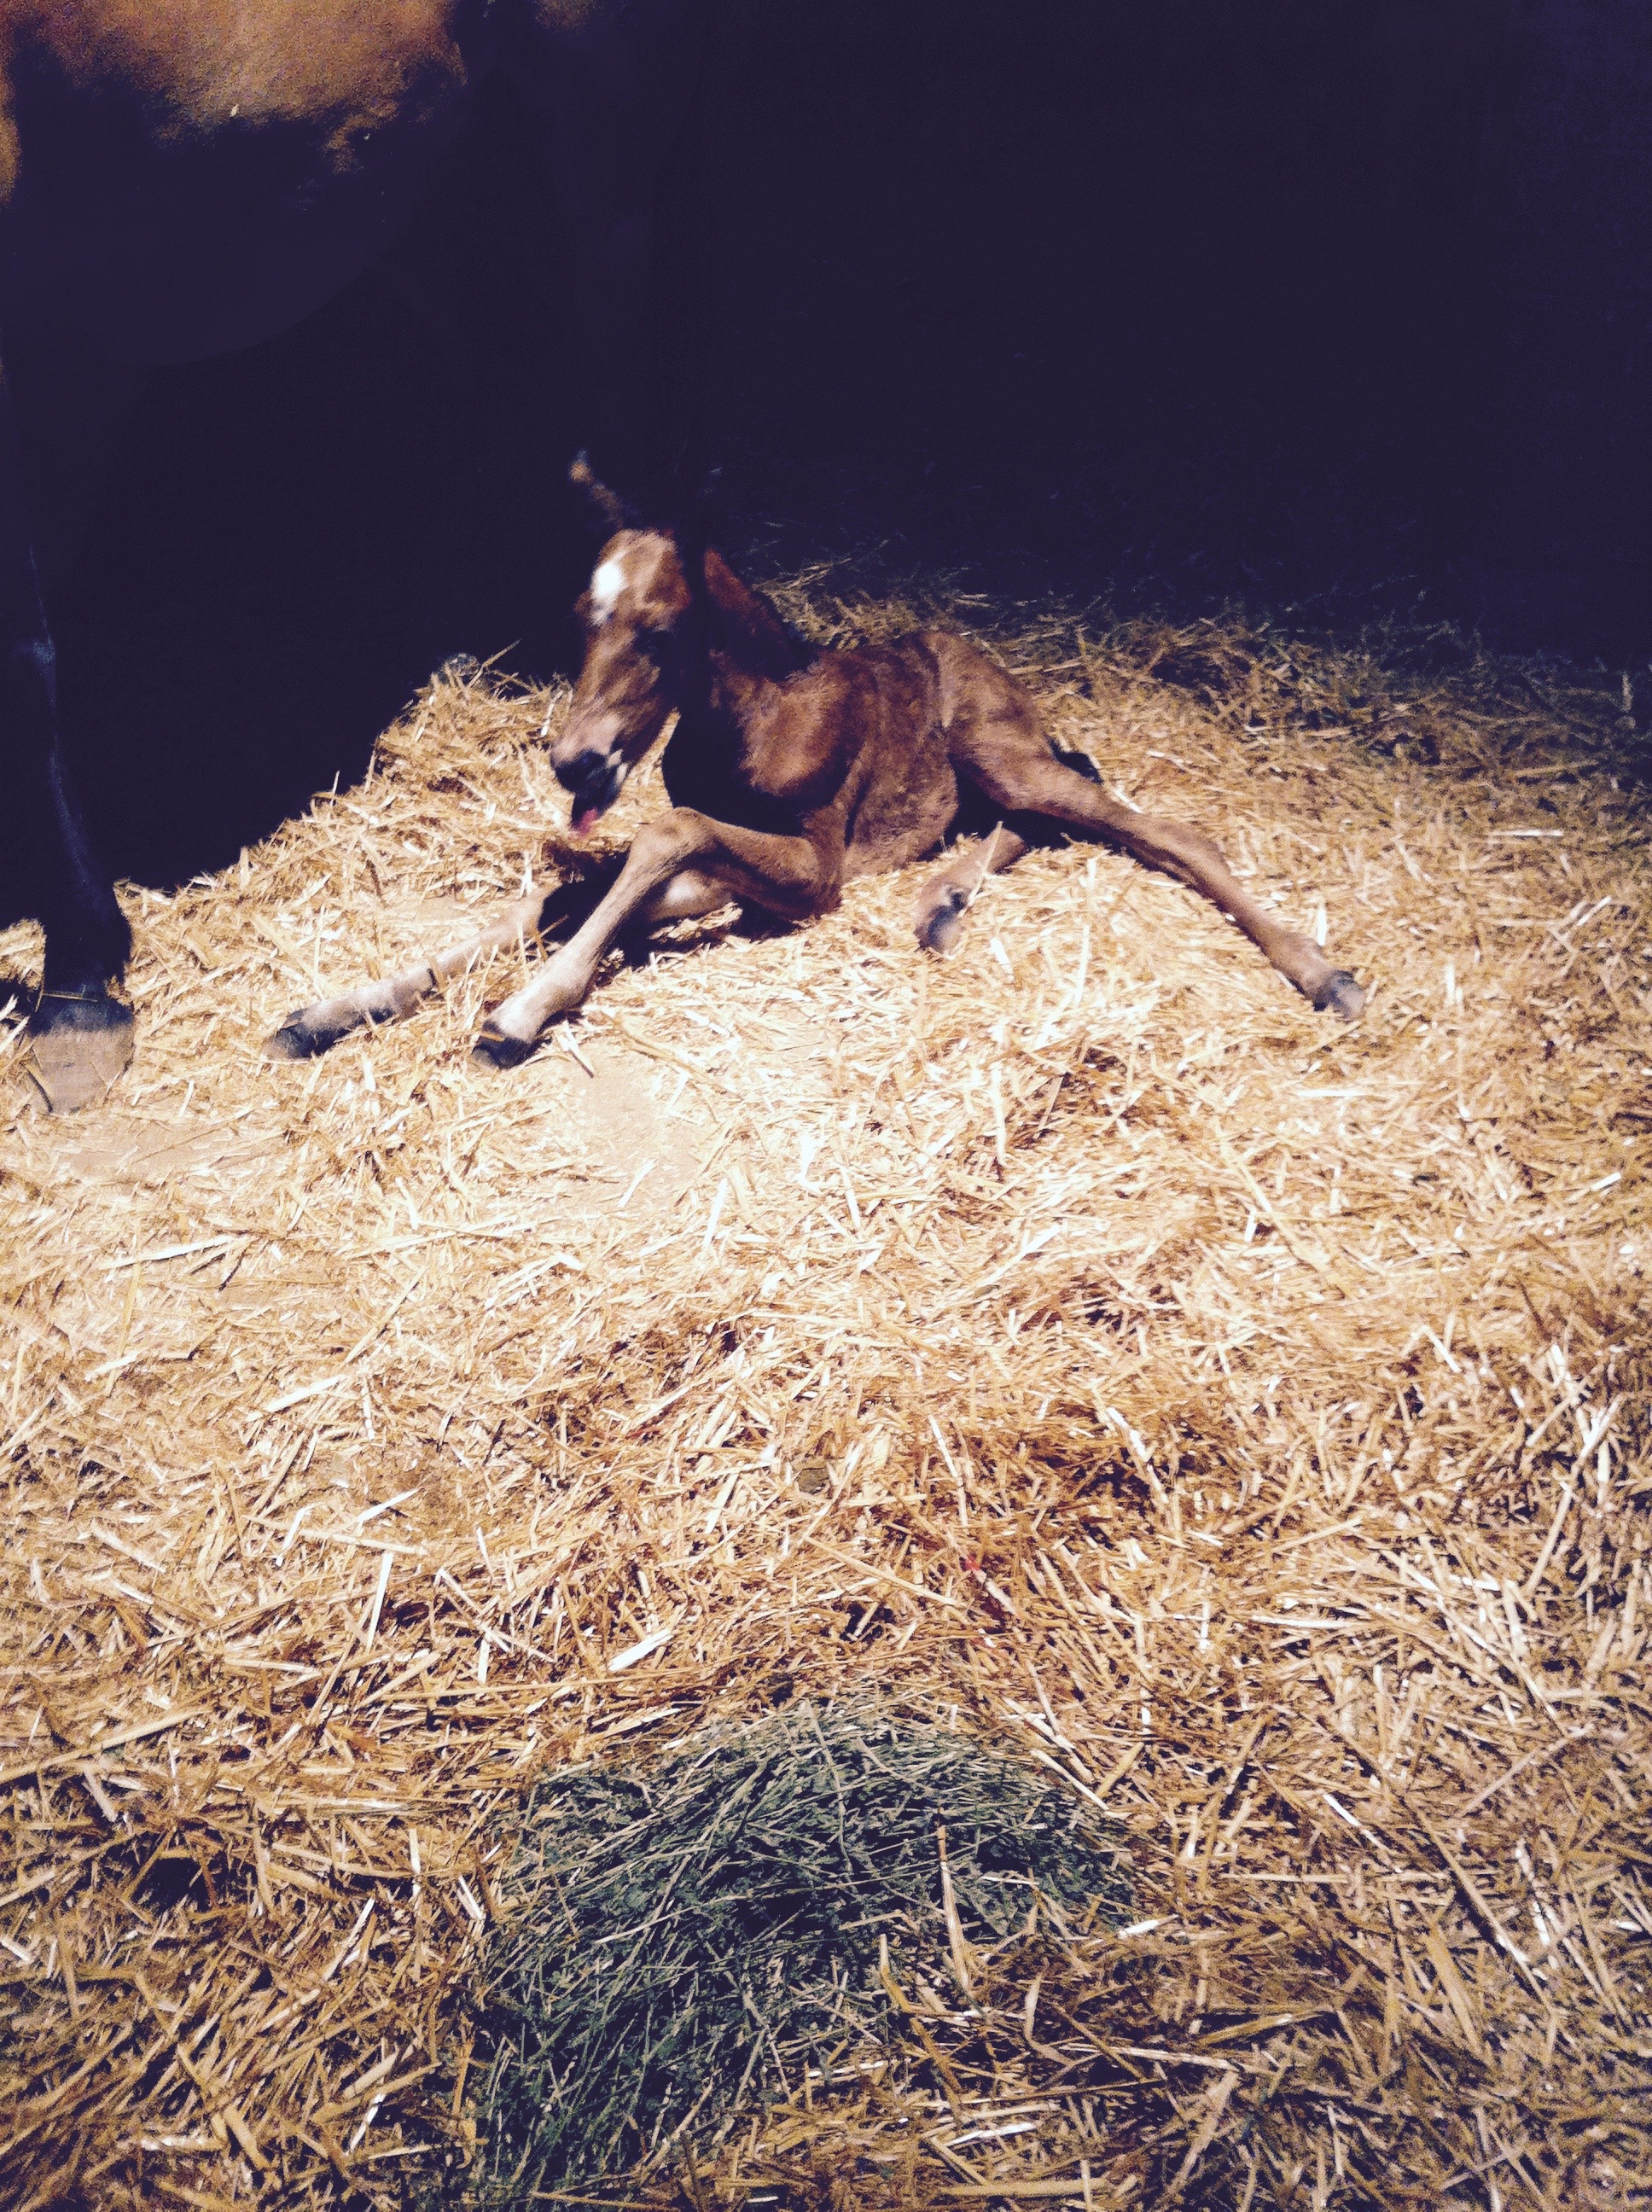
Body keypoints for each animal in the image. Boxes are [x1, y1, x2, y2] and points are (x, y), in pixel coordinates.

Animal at [1, 0, 702, 1111]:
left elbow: (22, 654)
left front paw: (81, 982)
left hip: (598, 122)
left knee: (606, 338)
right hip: (402, 172)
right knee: (507, 354)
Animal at [265, 458, 1365, 1065]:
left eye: (660, 629)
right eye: (580, 617)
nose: (576, 763)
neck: (749, 724)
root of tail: (995, 668)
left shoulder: (815, 870)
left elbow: (655, 841)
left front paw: (524, 1009)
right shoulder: (739, 871)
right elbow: (575, 896)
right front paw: (333, 1011)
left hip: (993, 748)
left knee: (1149, 824)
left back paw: (1322, 973)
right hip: (997, 770)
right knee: (1044, 817)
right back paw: (939, 908)